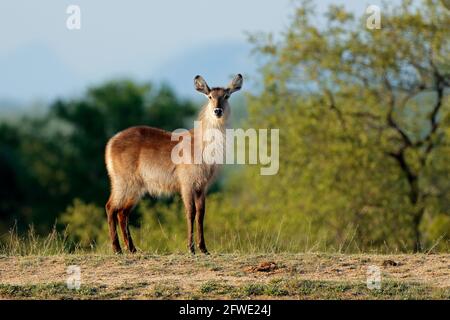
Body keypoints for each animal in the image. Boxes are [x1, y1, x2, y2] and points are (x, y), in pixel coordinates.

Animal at [104, 74, 243, 254]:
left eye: (226, 96)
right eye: (210, 96)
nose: (217, 111)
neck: (202, 146)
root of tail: (111, 141)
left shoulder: (202, 186)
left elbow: (201, 214)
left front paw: (204, 248)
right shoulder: (187, 184)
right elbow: (190, 212)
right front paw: (191, 248)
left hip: (136, 188)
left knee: (122, 213)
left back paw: (132, 249)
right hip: (124, 182)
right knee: (111, 207)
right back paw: (117, 249)